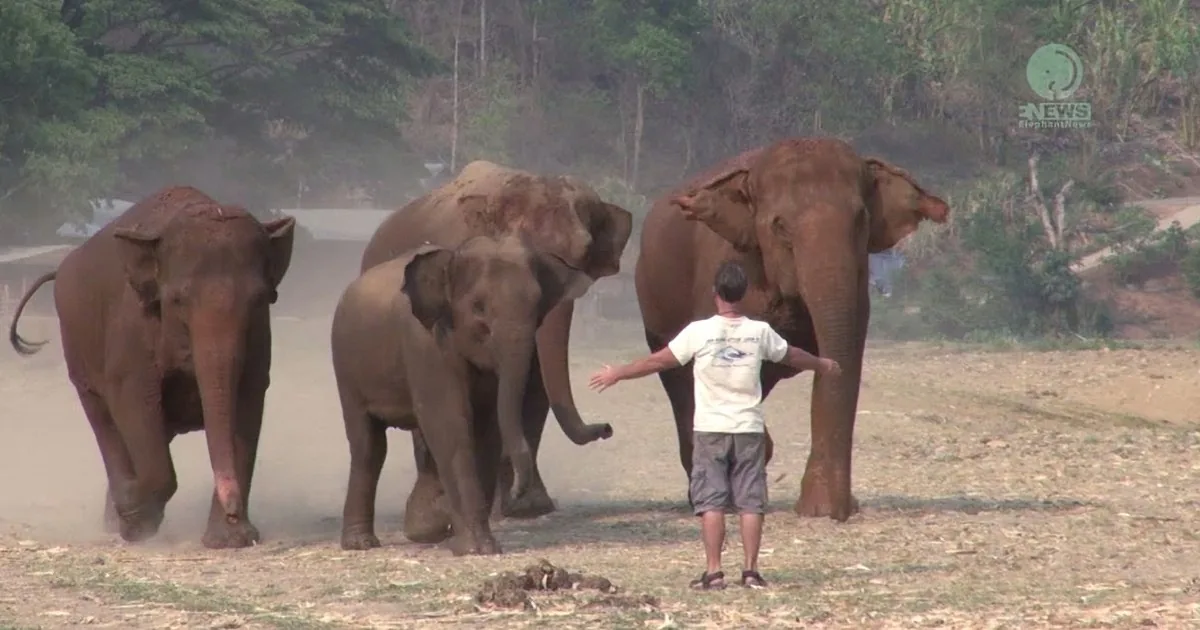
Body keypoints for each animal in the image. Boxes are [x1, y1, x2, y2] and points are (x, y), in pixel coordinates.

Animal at [8, 185, 295, 548]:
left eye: (259, 299)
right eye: (178, 300)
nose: (234, 511)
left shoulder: (259, 337)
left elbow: (248, 401)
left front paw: (231, 539)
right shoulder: (132, 331)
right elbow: (133, 400)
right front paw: (134, 516)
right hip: (76, 347)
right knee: (105, 420)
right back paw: (124, 516)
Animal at [331, 235, 593, 555]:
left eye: (537, 307)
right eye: (478, 307)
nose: (607, 428)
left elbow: (488, 427)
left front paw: (463, 537)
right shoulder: (425, 342)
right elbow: (450, 424)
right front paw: (476, 548)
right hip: (346, 367)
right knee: (368, 445)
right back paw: (362, 543)